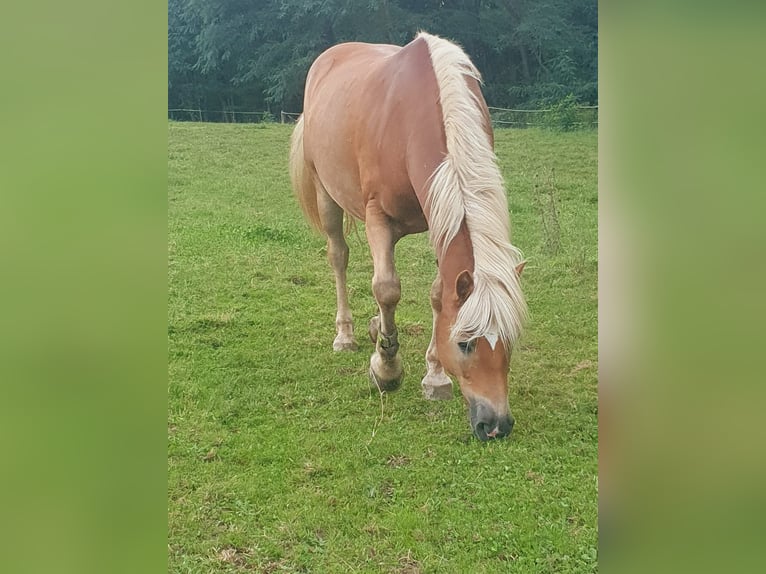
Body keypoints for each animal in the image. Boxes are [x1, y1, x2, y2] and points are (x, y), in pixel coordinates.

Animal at [288, 31, 528, 444]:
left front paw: (434, 376)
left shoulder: (439, 219)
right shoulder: (377, 216)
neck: (410, 120)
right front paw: (386, 369)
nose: (496, 425)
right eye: (465, 343)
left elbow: (437, 295)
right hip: (327, 195)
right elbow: (386, 288)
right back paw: (347, 335)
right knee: (339, 257)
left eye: (510, 339)